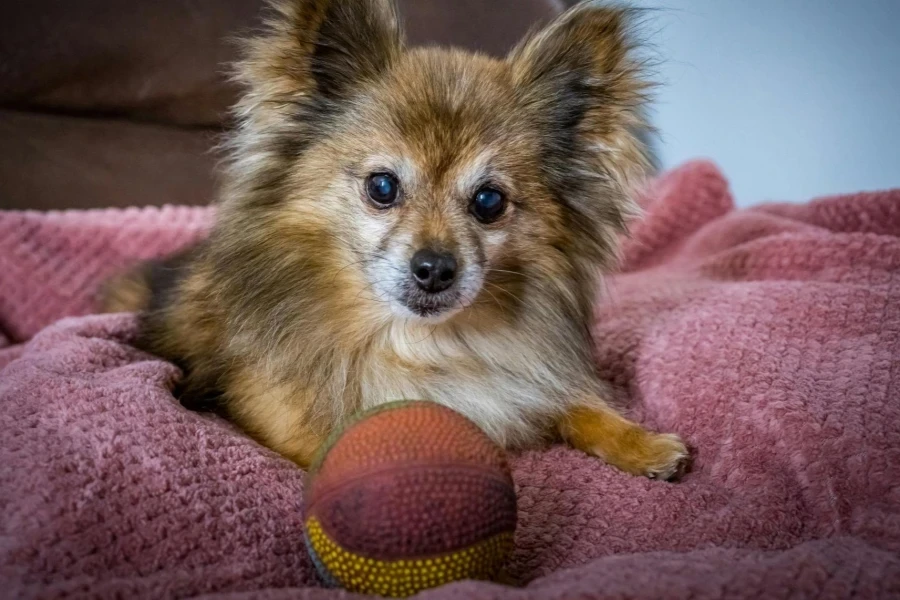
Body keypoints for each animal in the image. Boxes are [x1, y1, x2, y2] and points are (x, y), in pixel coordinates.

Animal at [107, 0, 696, 480]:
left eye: (489, 202)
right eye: (382, 187)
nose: (434, 268)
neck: (417, 343)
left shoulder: (526, 385)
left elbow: (583, 406)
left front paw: (642, 443)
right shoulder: (272, 414)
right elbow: (336, 446)